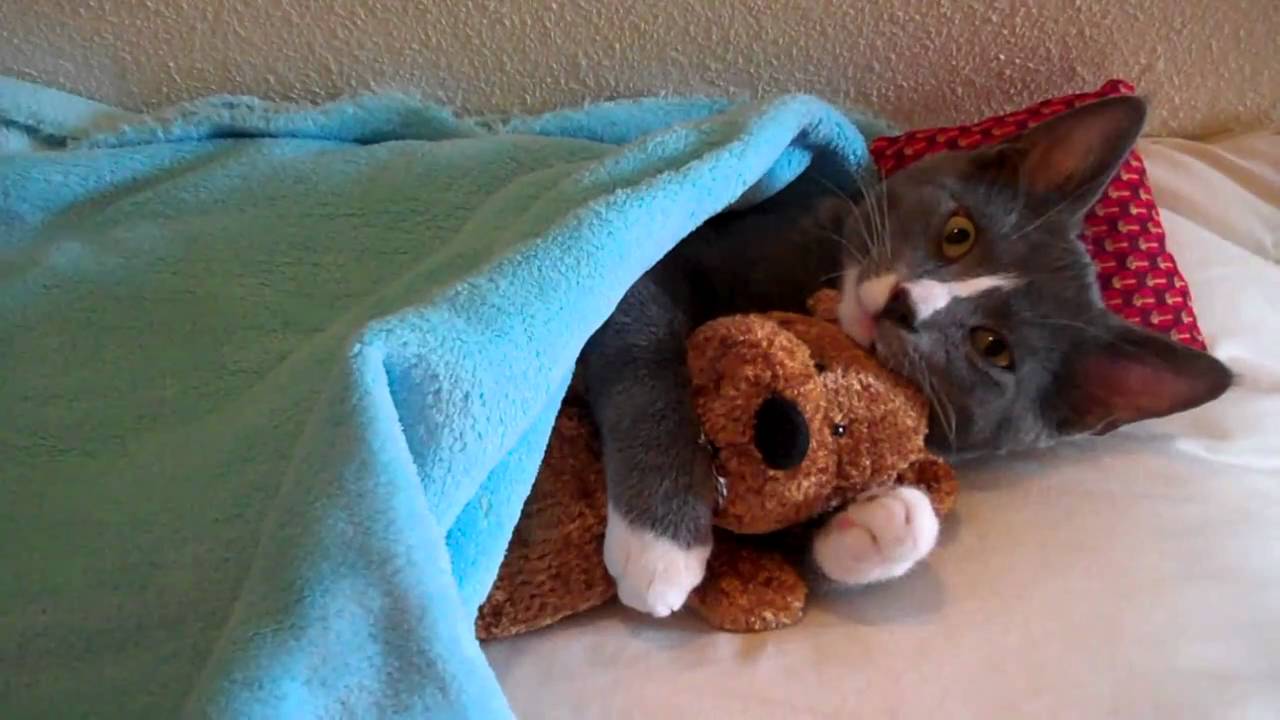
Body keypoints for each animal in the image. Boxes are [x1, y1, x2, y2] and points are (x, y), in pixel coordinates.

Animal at [578, 94, 1228, 609]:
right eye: (959, 233)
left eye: (993, 347)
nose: (903, 303)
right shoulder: (674, 245)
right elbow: (636, 327)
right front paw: (660, 544)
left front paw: (879, 528)